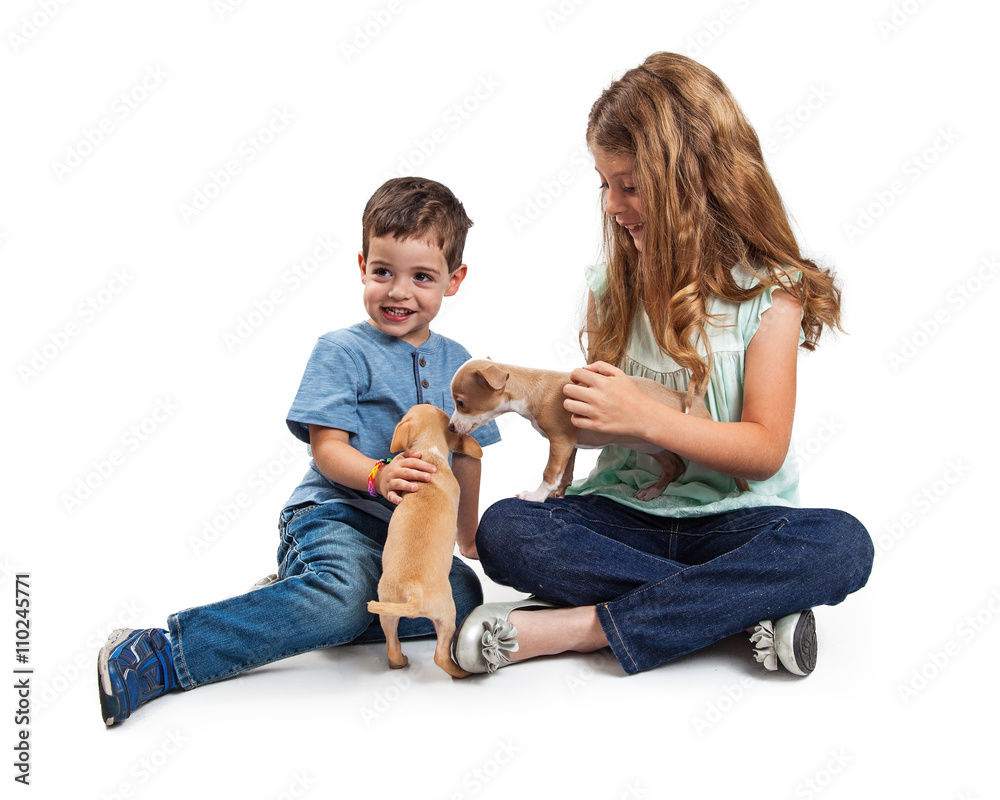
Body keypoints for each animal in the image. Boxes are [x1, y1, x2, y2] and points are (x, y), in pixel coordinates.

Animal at [366, 403, 482, 679]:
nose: (428, 401)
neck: (430, 455)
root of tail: (413, 593)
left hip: (386, 610)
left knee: (391, 645)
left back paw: (399, 662)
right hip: (447, 615)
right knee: (440, 656)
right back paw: (461, 673)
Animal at [448, 358, 749, 502]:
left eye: (460, 403)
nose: (450, 426)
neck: (533, 388)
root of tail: (688, 397)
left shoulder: (559, 442)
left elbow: (550, 472)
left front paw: (536, 496)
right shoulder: (569, 445)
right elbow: (565, 473)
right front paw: (558, 494)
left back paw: (746, 494)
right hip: (652, 445)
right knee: (675, 466)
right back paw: (652, 492)